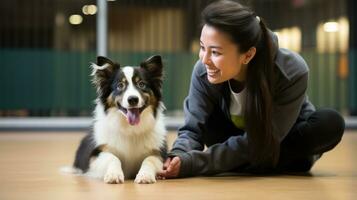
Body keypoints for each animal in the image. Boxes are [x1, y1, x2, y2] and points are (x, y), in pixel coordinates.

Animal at [69, 55, 167, 184]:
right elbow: (113, 158)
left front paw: (145, 175)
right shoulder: (96, 155)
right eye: (120, 85)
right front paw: (113, 175)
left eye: (141, 84)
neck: (130, 129)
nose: (133, 99)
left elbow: (149, 159)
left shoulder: (160, 154)